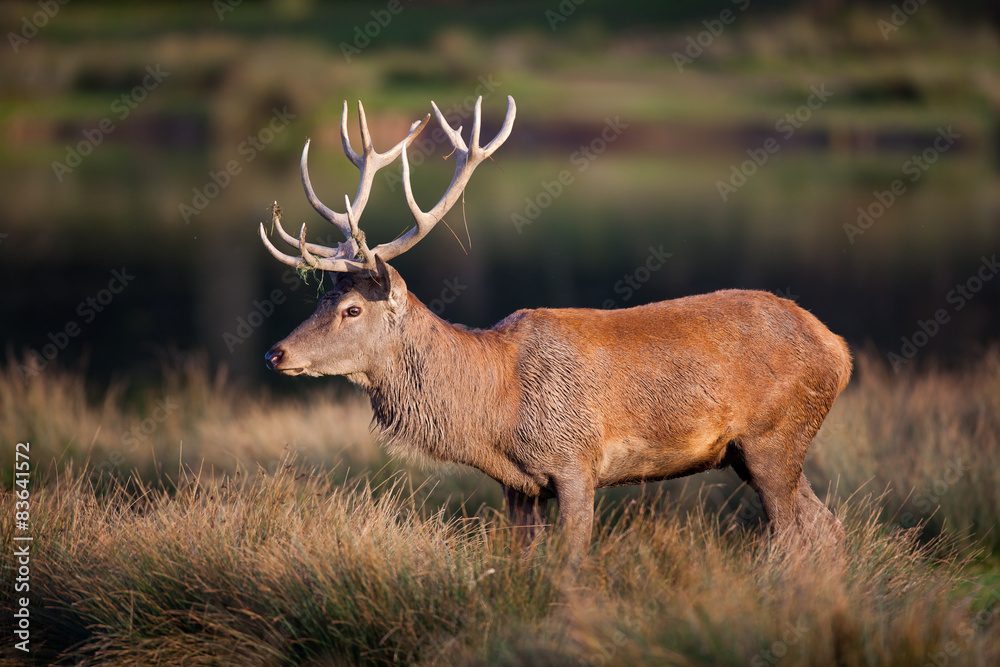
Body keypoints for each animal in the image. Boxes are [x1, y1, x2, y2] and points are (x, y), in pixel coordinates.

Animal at [259, 95, 851, 559]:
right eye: (325, 298)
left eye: (352, 309)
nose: (276, 353)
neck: (497, 410)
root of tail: (839, 350)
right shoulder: (517, 486)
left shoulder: (576, 461)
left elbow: (572, 563)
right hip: (756, 452)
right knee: (828, 527)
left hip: (774, 436)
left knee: (793, 536)